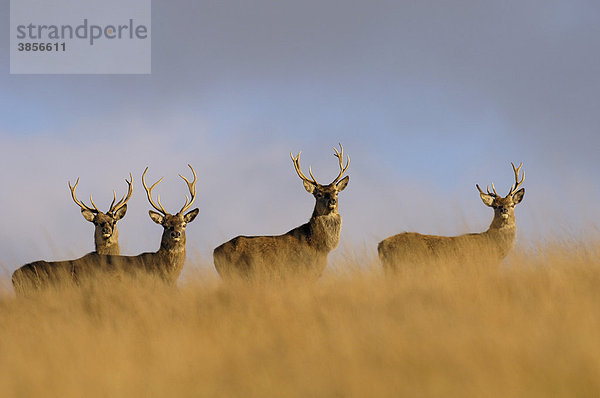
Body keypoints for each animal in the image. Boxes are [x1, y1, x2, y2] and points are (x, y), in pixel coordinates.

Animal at [213, 144, 350, 280]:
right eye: (318, 194)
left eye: (336, 192)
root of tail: (214, 252)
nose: (332, 201)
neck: (318, 246)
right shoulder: (300, 272)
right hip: (234, 275)